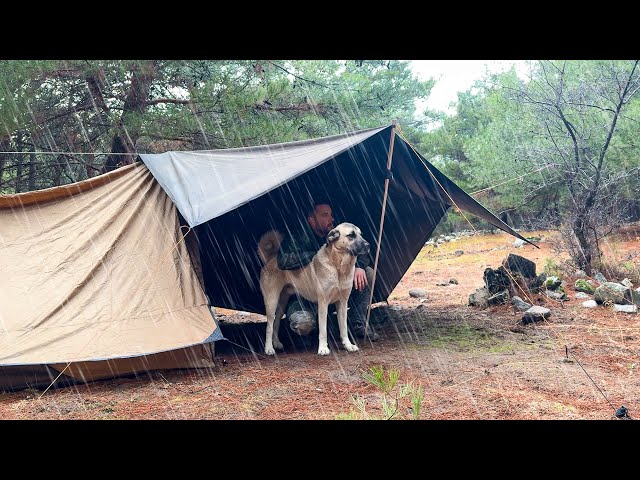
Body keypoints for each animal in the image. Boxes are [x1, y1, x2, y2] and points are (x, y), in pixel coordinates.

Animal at [258, 223, 370, 354]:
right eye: (351, 235)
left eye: (360, 234)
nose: (368, 245)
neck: (338, 267)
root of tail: (270, 259)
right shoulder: (323, 303)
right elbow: (323, 330)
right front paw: (323, 348)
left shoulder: (342, 303)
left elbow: (343, 329)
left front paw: (348, 345)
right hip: (272, 301)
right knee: (269, 326)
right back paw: (269, 348)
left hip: (282, 302)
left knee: (276, 323)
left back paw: (277, 343)